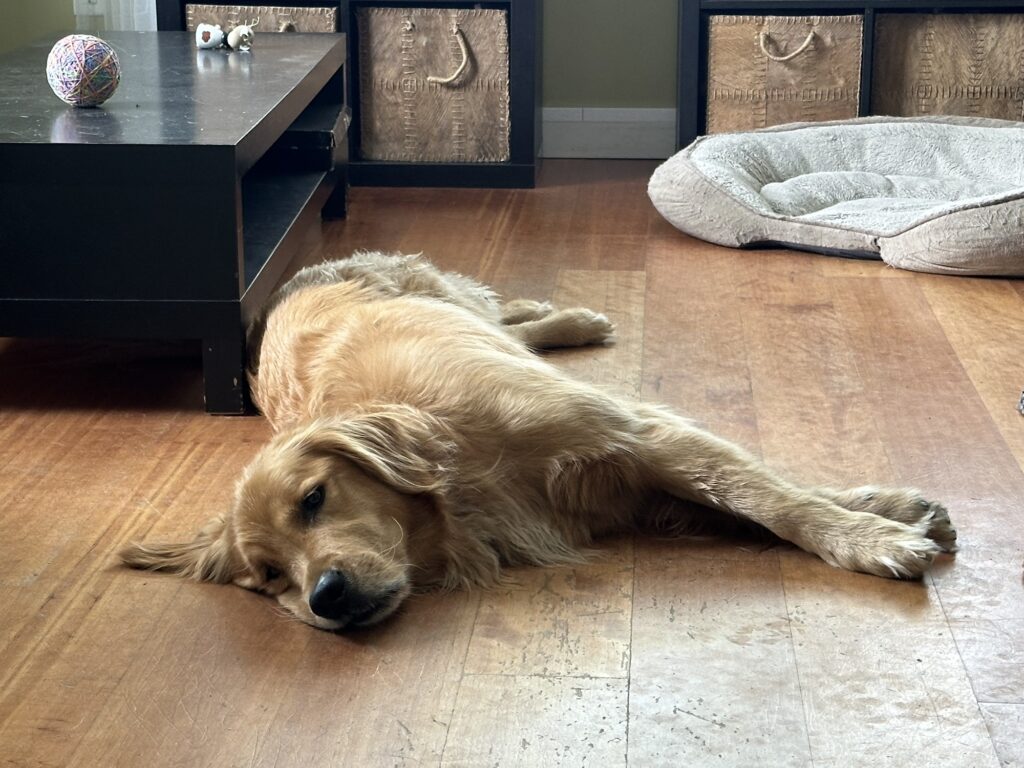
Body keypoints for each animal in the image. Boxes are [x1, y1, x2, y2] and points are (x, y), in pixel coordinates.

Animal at [119, 252, 958, 630]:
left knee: (507, 310)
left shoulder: (632, 431)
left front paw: (869, 533)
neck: (460, 477)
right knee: (512, 321)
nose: (323, 598)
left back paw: (578, 320)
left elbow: (773, 498)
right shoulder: (629, 489)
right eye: (268, 578)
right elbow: (755, 500)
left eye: (315, 499)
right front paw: (889, 509)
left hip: (452, 298)